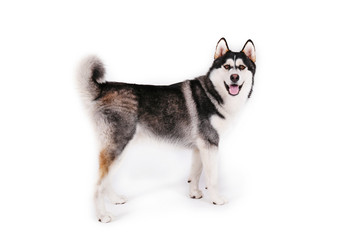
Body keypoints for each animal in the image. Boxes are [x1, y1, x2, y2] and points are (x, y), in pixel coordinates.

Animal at [77, 38, 256, 223]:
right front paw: (216, 199)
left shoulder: (200, 147)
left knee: (106, 180)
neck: (214, 94)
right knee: (98, 185)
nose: (234, 77)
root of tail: (104, 87)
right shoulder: (210, 144)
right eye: (227, 67)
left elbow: (195, 173)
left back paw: (115, 199)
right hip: (117, 147)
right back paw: (102, 215)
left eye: (242, 67)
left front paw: (194, 193)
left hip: (120, 150)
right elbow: (212, 178)